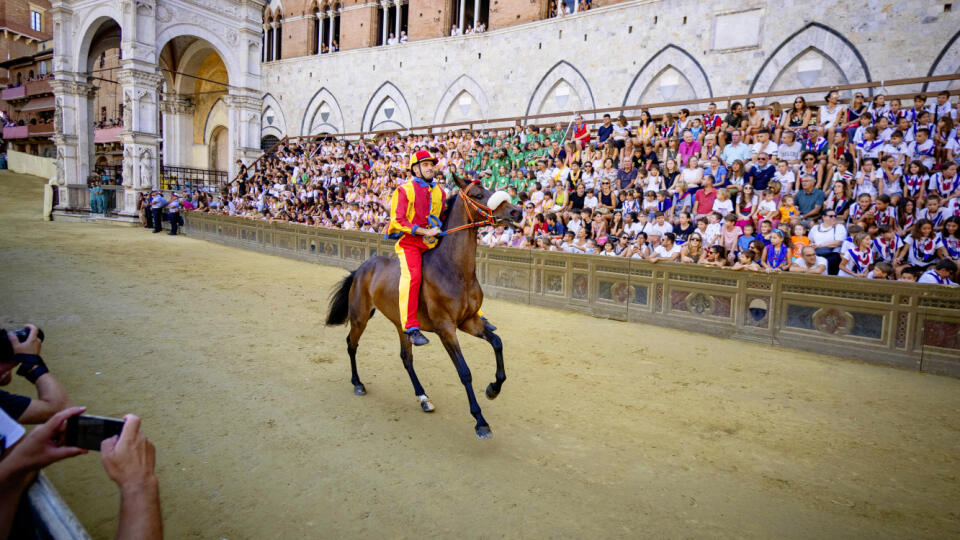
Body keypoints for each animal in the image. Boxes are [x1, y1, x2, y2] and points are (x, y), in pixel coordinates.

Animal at [324, 173, 520, 438]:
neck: (454, 270)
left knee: (406, 358)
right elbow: (464, 372)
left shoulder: (469, 321)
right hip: (360, 317)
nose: (516, 211)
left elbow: (497, 343)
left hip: (401, 325)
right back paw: (357, 383)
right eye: (478, 194)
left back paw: (423, 397)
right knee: (351, 345)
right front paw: (480, 420)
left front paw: (493, 388)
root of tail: (362, 268)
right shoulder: (446, 328)